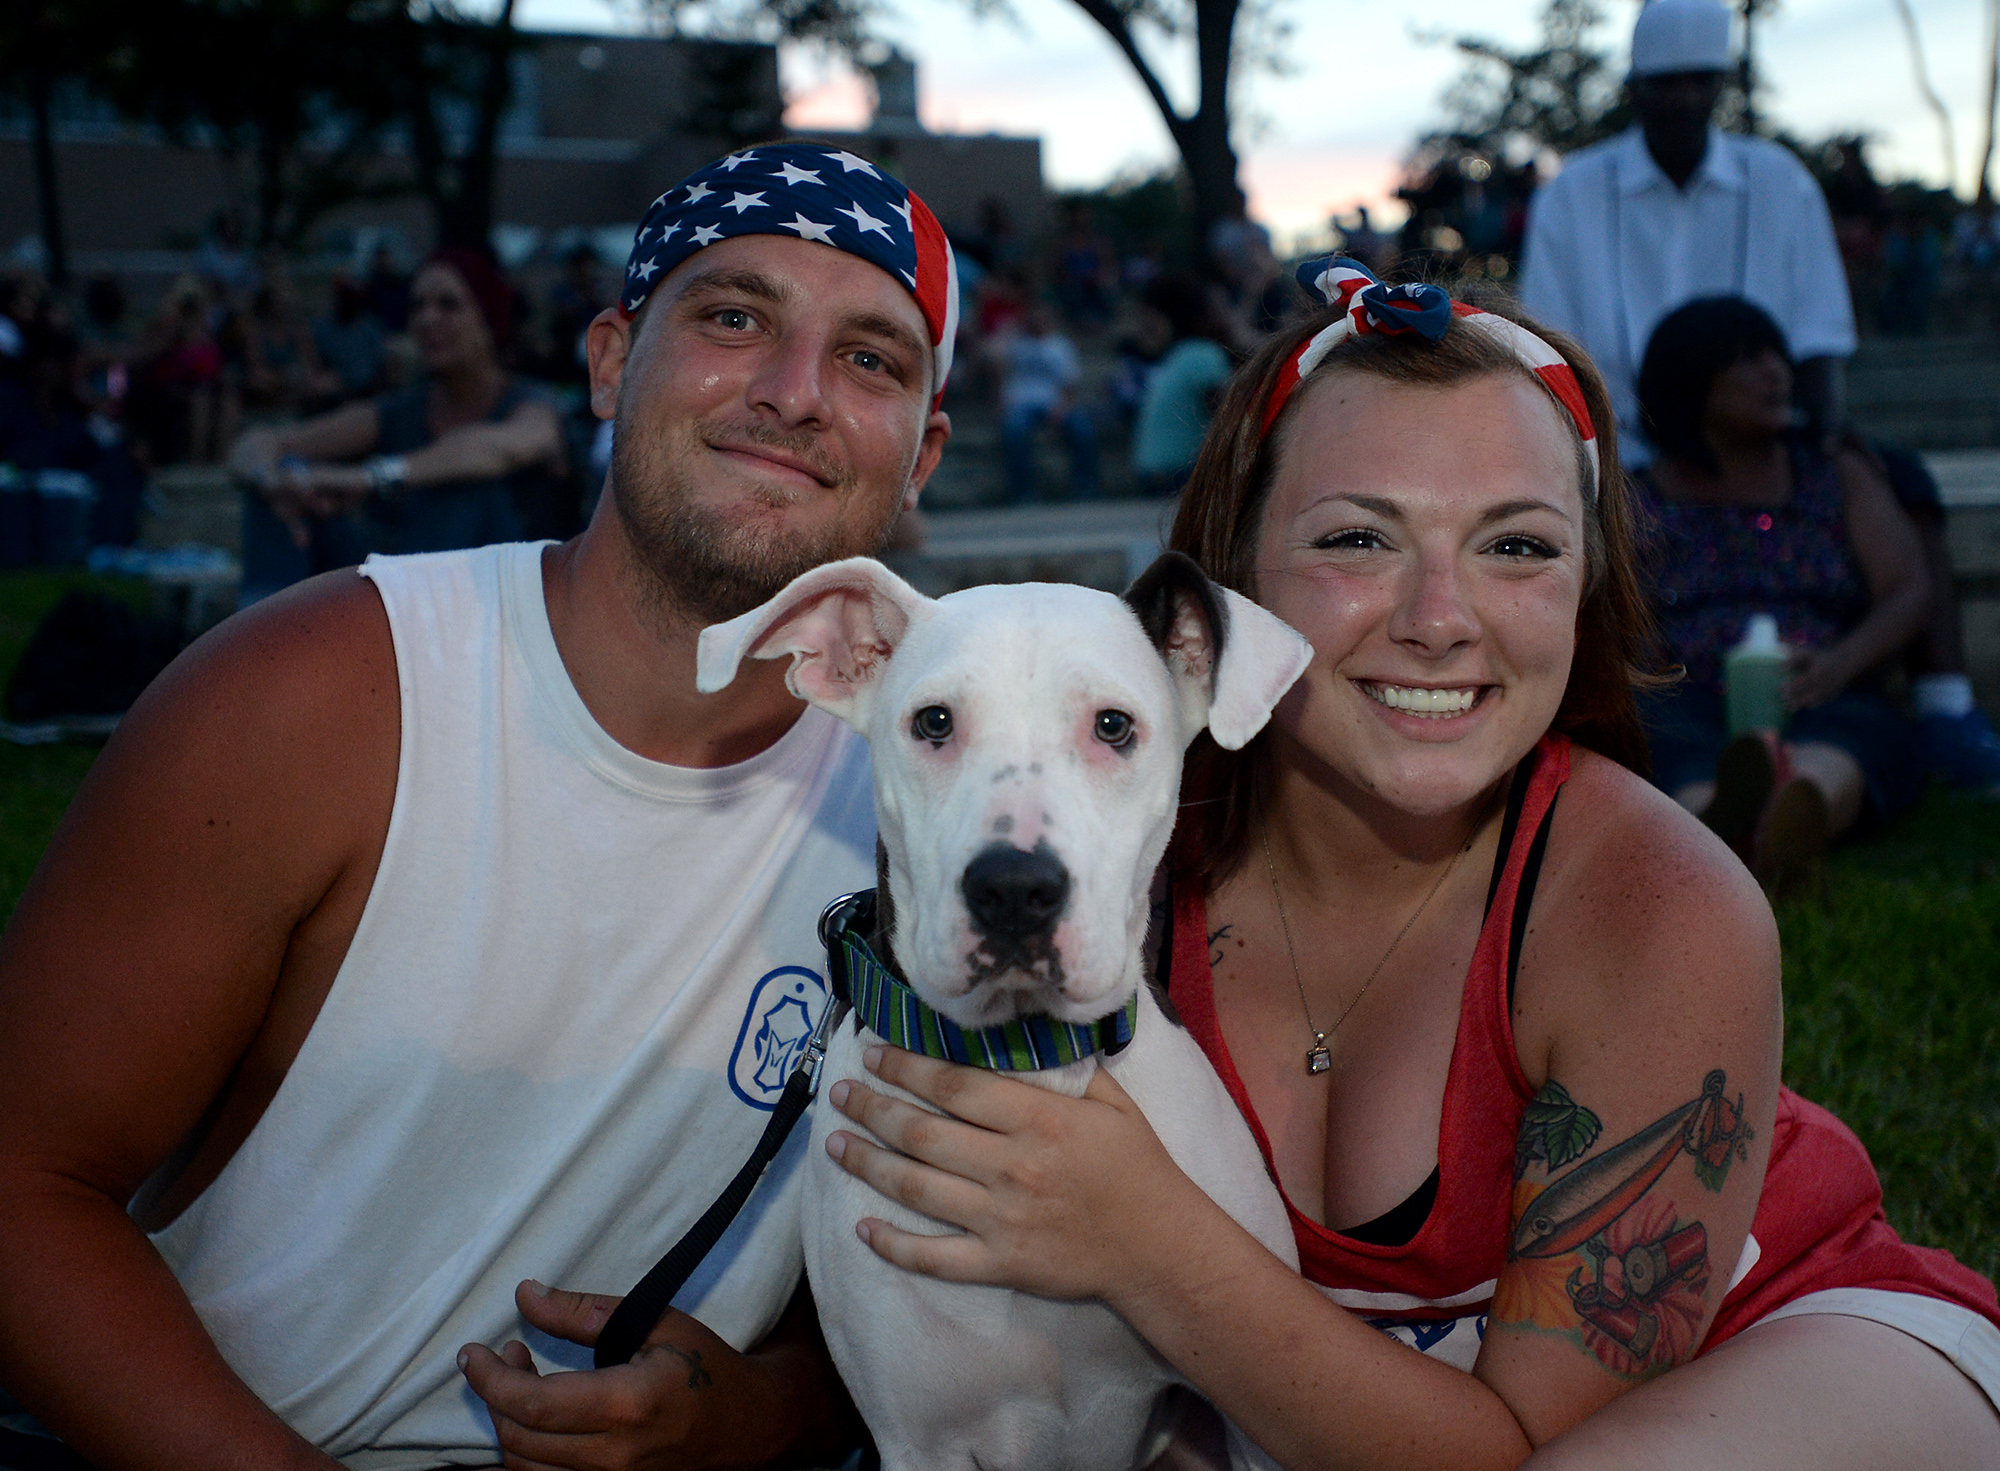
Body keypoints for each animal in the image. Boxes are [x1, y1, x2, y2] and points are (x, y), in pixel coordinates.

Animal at [700, 551, 1312, 1471]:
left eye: (1113, 725)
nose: (1015, 888)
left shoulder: (1255, 1419)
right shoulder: (917, 1437)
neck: (1028, 1063)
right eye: (934, 721)